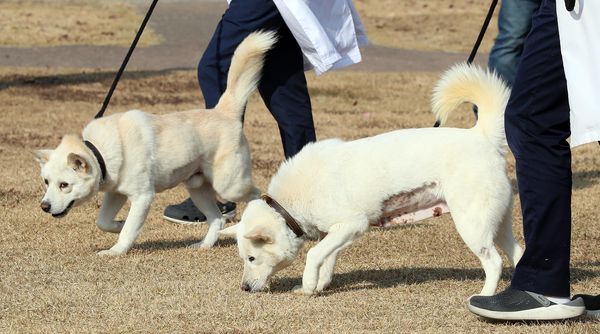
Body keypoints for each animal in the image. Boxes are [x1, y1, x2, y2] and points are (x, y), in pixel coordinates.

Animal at [33, 32, 276, 256]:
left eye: (64, 185)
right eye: (46, 182)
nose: (44, 207)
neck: (99, 151)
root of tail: (224, 112)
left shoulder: (142, 197)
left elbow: (129, 230)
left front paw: (116, 251)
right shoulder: (116, 193)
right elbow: (102, 222)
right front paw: (118, 224)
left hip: (230, 185)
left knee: (257, 195)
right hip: (197, 187)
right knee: (217, 219)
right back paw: (203, 245)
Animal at [221, 64, 524, 296]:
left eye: (251, 257)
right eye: (243, 258)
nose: (244, 288)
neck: (290, 205)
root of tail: (481, 136)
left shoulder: (353, 224)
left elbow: (314, 255)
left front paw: (307, 287)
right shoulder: (336, 232)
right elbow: (327, 258)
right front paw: (320, 286)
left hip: (472, 225)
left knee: (494, 263)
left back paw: (484, 296)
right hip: (497, 224)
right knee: (519, 254)